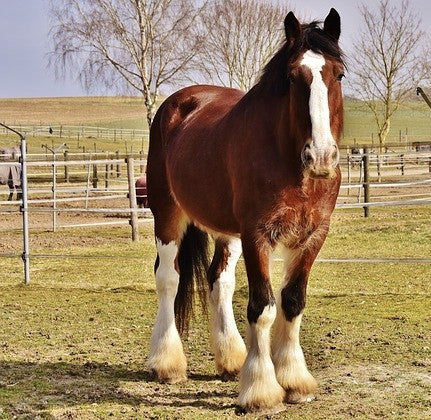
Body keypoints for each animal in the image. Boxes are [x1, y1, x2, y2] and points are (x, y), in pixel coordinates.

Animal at [147, 9, 346, 414]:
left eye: (338, 75)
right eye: (292, 76)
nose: (321, 156)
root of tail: (179, 102)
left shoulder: (313, 235)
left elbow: (292, 302)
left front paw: (295, 381)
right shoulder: (258, 235)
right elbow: (262, 307)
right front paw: (261, 390)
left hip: (227, 231)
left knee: (219, 282)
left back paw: (231, 360)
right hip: (168, 215)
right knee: (168, 279)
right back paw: (167, 363)